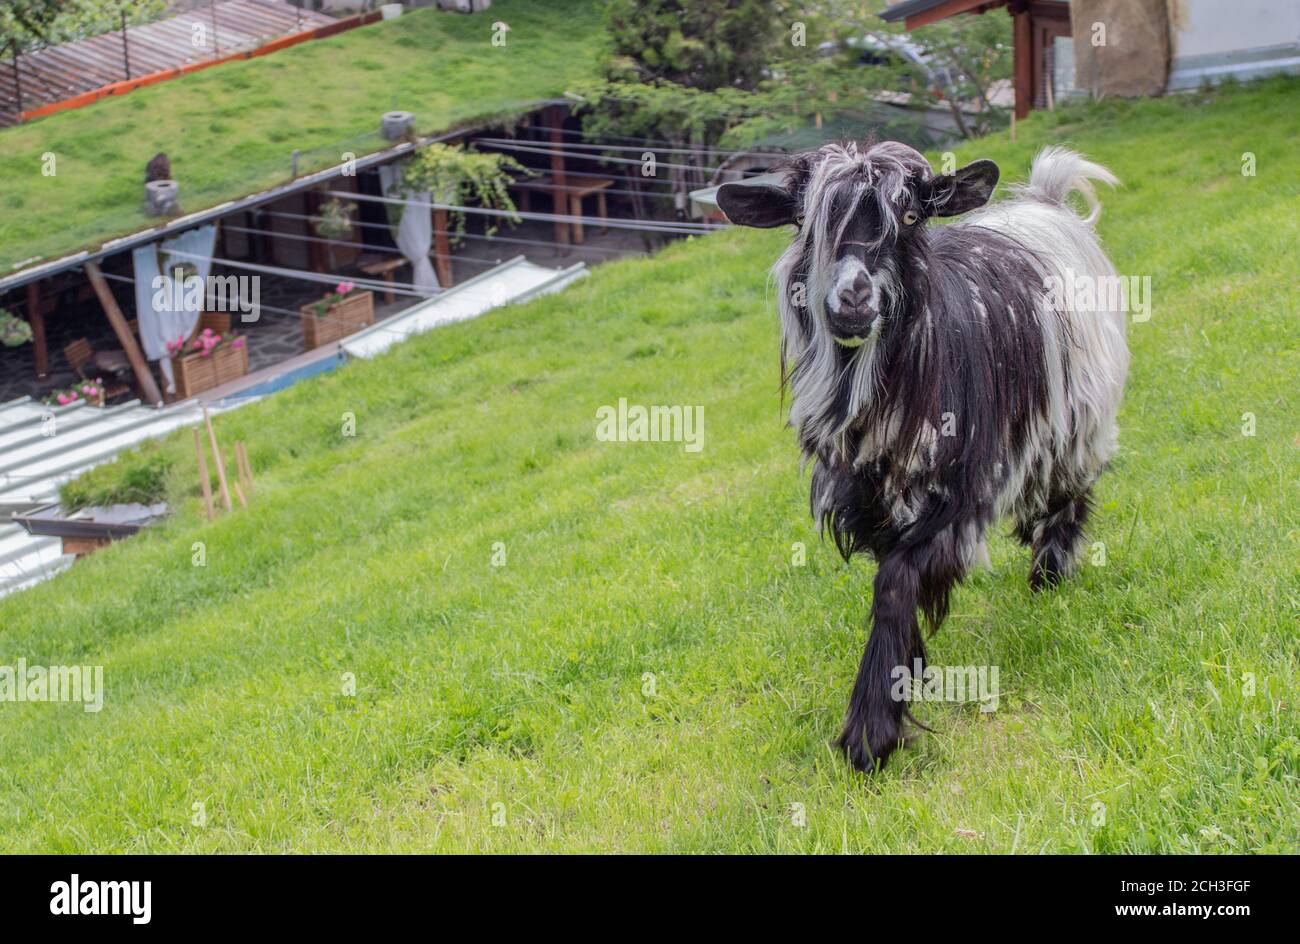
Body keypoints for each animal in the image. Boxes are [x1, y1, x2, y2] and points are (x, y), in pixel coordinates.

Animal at [722, 144, 1128, 774]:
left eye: (911, 217)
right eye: (806, 222)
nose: (854, 298)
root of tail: (1046, 204)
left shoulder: (957, 495)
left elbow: (896, 583)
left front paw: (869, 735)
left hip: (1080, 414)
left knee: (1070, 491)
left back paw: (1048, 576)